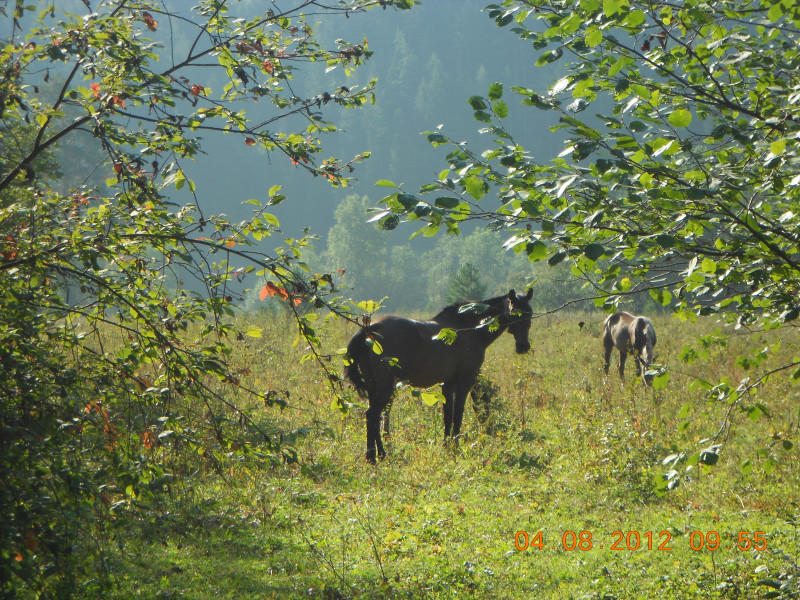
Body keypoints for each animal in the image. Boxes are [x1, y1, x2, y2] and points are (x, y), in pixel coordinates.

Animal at [346, 288, 533, 463]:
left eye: (530, 313)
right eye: (515, 312)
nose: (523, 346)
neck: (470, 328)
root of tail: (370, 329)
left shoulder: (448, 384)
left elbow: (447, 416)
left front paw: (447, 445)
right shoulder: (465, 381)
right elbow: (458, 414)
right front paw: (456, 446)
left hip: (374, 387)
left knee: (374, 417)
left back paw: (378, 454)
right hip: (386, 387)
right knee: (373, 414)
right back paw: (375, 456)